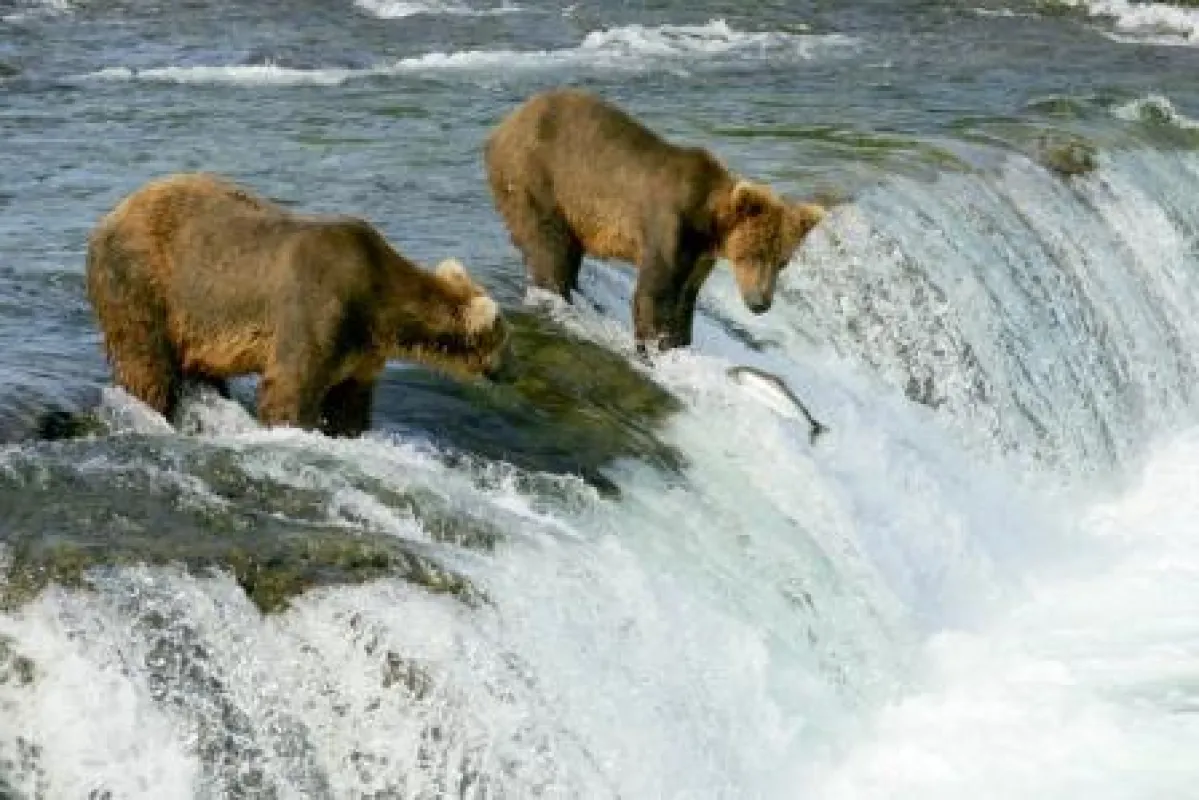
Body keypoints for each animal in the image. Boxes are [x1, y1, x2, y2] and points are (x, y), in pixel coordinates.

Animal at [85, 172, 509, 438]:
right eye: (506, 340)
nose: (507, 372)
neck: (379, 308)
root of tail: (107, 217)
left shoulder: (361, 352)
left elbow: (349, 403)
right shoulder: (319, 306)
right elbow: (291, 385)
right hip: (143, 281)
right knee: (146, 362)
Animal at [483, 87, 827, 352]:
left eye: (782, 261)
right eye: (752, 254)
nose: (760, 303)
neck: (708, 222)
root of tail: (502, 125)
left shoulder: (699, 256)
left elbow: (684, 299)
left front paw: (679, 341)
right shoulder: (669, 226)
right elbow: (654, 294)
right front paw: (656, 348)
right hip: (537, 177)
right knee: (548, 246)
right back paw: (557, 296)